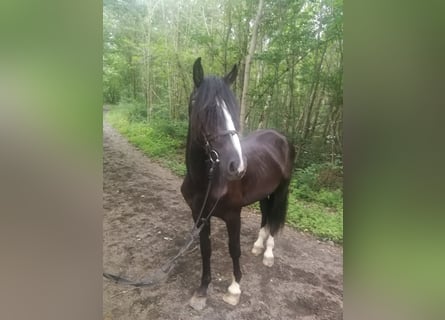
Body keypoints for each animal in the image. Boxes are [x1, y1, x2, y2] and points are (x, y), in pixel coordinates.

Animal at [180, 57, 294, 310]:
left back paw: (268, 253)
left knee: (275, 217)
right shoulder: (199, 216)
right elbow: (206, 250)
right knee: (266, 213)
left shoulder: (233, 216)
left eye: (233, 109)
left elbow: (234, 250)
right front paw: (202, 290)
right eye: (207, 110)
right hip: (265, 193)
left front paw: (234, 289)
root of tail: (281, 137)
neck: (208, 180)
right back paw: (258, 245)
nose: (238, 166)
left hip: (281, 190)